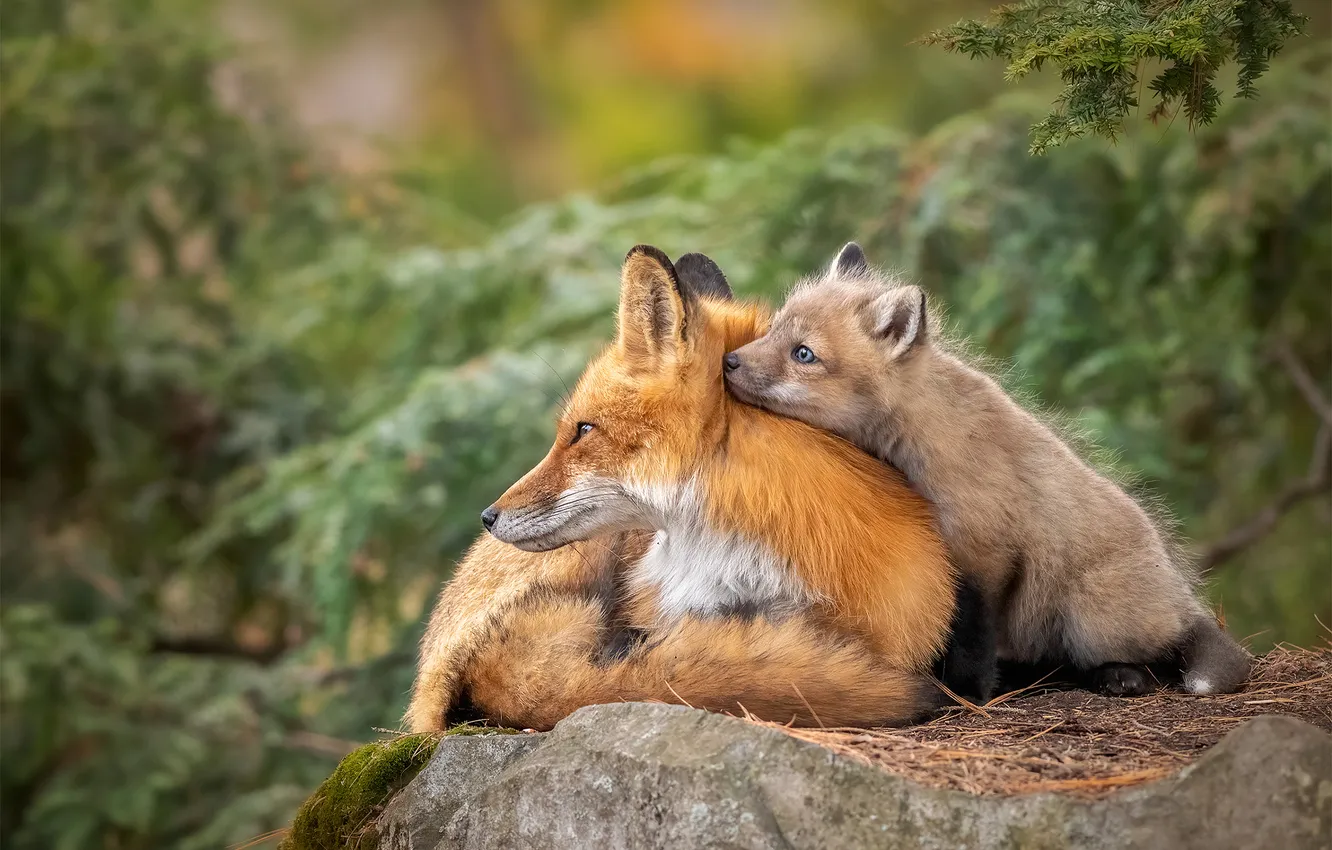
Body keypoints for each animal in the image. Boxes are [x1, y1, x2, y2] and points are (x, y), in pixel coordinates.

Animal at [722, 242, 1251, 697]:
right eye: (774, 329)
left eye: (803, 354)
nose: (728, 361)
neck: (920, 438)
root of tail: (1181, 595)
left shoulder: (984, 552)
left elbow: (972, 635)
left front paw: (967, 692)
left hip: (1094, 612)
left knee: (1155, 658)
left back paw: (1120, 676)